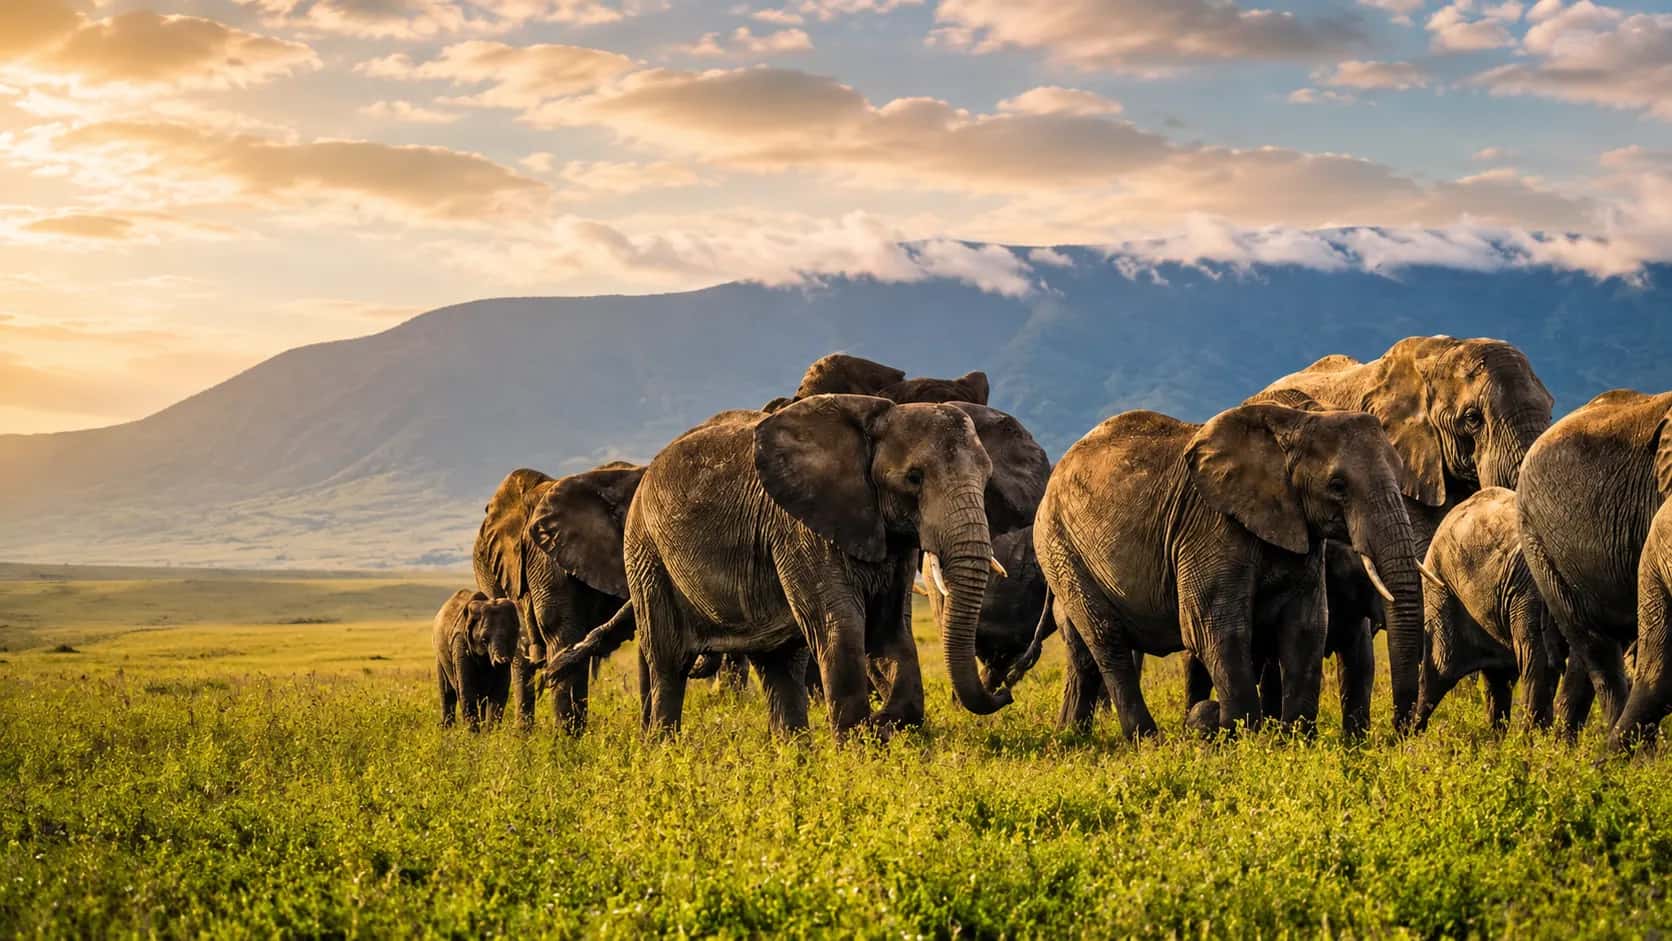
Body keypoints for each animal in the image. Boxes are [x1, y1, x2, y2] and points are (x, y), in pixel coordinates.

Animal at [433, 589, 520, 730]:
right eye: (484, 640)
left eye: (510, 637)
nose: (503, 660)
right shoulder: (460, 641)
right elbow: (466, 688)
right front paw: (473, 734)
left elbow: (499, 692)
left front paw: (491, 732)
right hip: (440, 656)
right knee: (446, 691)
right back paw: (447, 729)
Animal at [547, 395, 1049, 737]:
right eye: (914, 478)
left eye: (987, 480)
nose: (1005, 692)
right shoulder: (800, 527)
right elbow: (839, 627)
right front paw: (861, 736)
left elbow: (889, 632)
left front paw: (883, 723)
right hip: (645, 552)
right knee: (669, 660)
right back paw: (662, 752)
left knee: (779, 667)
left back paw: (795, 759)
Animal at [1028, 402, 1424, 739]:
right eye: (1338, 486)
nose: (1400, 733)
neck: (1293, 423)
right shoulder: (1211, 528)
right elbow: (1216, 629)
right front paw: (1244, 742)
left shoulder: (1302, 534)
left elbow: (1306, 628)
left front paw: (1296, 742)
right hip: (1060, 547)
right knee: (1107, 641)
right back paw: (1147, 741)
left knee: (1085, 656)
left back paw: (1071, 738)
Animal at [1412, 488, 1560, 731]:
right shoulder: (1533, 590)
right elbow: (1540, 661)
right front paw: (1535, 740)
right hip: (1440, 587)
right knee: (1440, 670)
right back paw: (1409, 737)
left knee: (1499, 679)